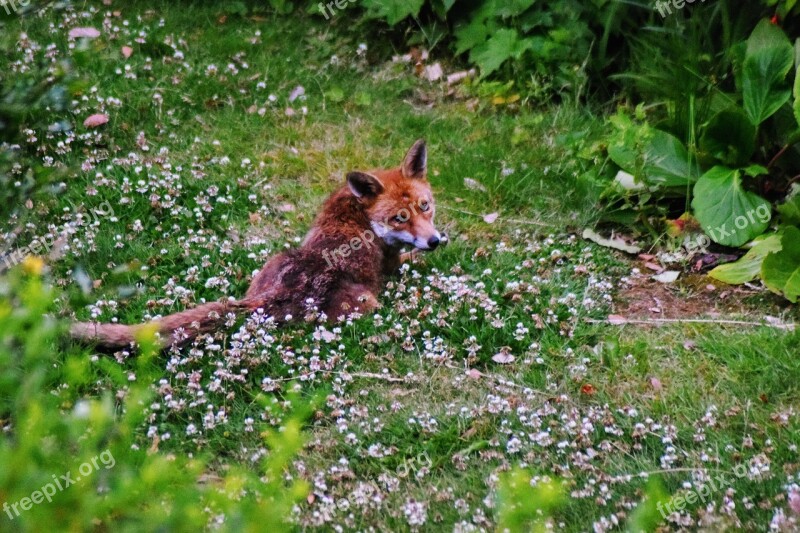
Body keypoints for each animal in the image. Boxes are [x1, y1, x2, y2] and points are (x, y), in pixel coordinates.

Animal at [69, 139, 444, 352]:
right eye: (399, 218)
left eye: (425, 206)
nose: (434, 241)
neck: (358, 211)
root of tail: (277, 295)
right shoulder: (393, 263)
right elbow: (411, 262)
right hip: (367, 303)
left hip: (272, 262)